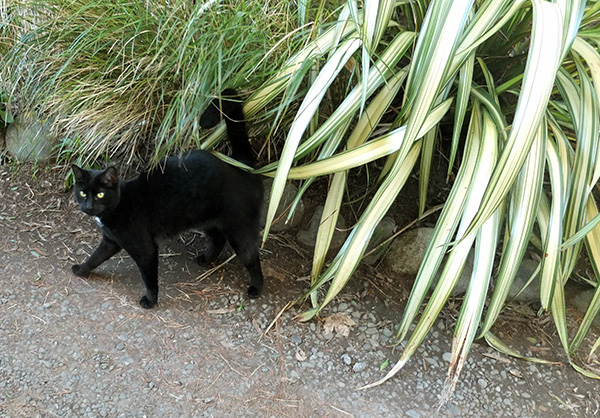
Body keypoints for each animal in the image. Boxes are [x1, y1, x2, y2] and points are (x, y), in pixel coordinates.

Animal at [71, 90, 264, 308]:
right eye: (83, 193)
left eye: (100, 194)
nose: (88, 206)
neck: (119, 205)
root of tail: (241, 164)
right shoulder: (110, 241)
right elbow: (96, 256)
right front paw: (82, 269)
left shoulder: (145, 248)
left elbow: (149, 278)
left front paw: (150, 301)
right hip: (204, 219)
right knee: (218, 238)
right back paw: (206, 259)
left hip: (239, 227)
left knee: (251, 257)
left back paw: (256, 288)